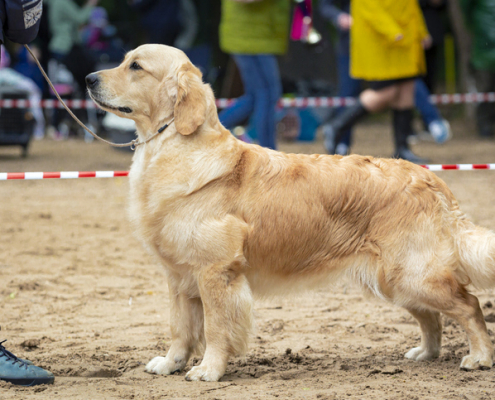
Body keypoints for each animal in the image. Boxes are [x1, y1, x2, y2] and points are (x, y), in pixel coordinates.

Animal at [87, 43, 495, 382]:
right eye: (124, 61)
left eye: (136, 66)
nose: (89, 79)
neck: (172, 146)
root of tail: (433, 181)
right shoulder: (179, 276)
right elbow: (180, 327)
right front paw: (171, 362)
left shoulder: (216, 272)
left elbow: (216, 328)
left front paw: (209, 370)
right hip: (393, 279)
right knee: (432, 316)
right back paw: (425, 352)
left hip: (413, 274)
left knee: (469, 305)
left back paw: (479, 357)